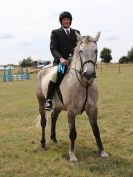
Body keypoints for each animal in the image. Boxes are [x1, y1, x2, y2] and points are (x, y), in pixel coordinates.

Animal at [36, 31, 109, 162]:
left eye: (96, 50)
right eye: (81, 51)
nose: (88, 74)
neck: (84, 84)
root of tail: (42, 69)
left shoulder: (93, 109)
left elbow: (96, 130)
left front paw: (102, 152)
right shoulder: (71, 111)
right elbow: (72, 133)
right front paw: (72, 155)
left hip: (58, 106)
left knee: (54, 118)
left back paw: (54, 139)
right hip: (41, 101)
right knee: (44, 122)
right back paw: (43, 143)